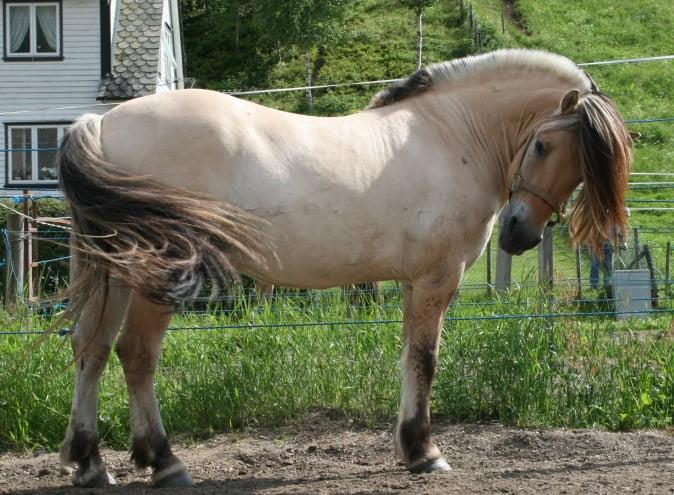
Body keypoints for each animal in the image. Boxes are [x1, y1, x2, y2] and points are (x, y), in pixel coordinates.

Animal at [56, 49, 632, 488]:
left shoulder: (413, 284)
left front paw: (409, 448)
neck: (452, 136)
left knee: (91, 348)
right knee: (136, 354)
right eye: (543, 144)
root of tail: (102, 123)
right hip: (157, 276)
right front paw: (425, 452)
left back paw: (89, 464)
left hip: (114, 273)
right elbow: (425, 361)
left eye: (580, 168)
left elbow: (408, 359)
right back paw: (164, 461)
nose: (520, 232)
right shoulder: (436, 279)